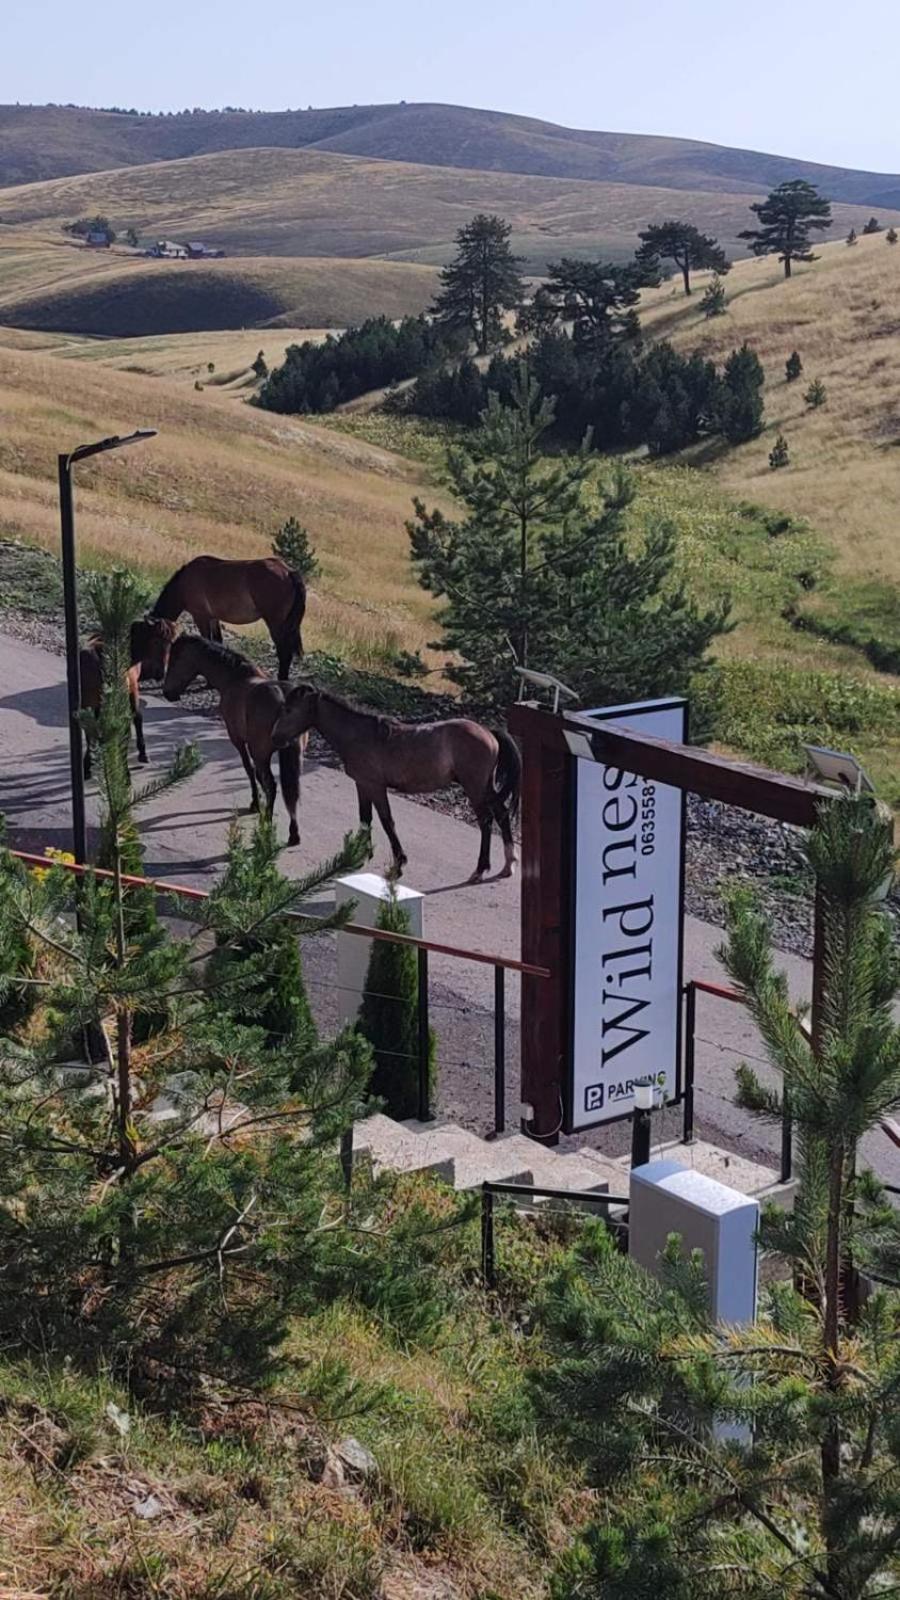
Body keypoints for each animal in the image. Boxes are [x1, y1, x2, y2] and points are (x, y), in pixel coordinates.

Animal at [152, 553, 305, 678]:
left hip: (275, 624)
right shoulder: (213, 618)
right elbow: (217, 641)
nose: (158, 674)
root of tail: (288, 572)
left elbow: (207, 640)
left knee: (284, 654)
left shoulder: (201, 617)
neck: (184, 583)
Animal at [160, 630, 301, 844]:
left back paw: (266, 826)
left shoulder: (238, 739)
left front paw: (255, 804)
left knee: (272, 785)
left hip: (261, 753)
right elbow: (257, 775)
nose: (167, 692)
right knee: (291, 791)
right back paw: (293, 834)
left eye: (176, 660)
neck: (234, 678)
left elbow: (250, 770)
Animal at [269, 681, 518, 883]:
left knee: (486, 821)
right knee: (502, 814)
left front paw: (399, 863)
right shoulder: (362, 784)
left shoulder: (376, 787)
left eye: (289, 710)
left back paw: (480, 870)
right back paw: (508, 865)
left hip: (474, 787)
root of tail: (489, 732)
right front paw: (361, 853)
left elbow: (387, 821)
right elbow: (365, 818)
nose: (275, 737)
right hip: (485, 787)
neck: (358, 735)